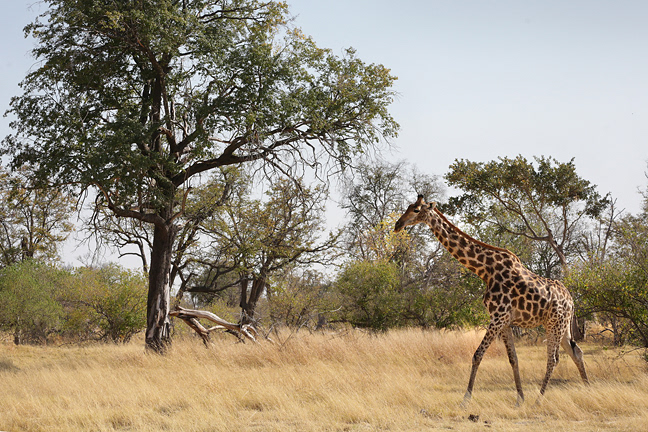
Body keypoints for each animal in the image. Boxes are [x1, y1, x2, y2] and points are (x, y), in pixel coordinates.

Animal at [394, 195, 589, 405]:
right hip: (561, 326)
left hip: (555, 324)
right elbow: (513, 359)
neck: (485, 271)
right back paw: (587, 387)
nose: (398, 224)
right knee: (576, 352)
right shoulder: (504, 322)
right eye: (408, 207)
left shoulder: (497, 318)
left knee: (553, 359)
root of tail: (571, 301)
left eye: (416, 210)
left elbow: (477, 355)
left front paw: (466, 399)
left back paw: (539, 399)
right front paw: (519, 399)